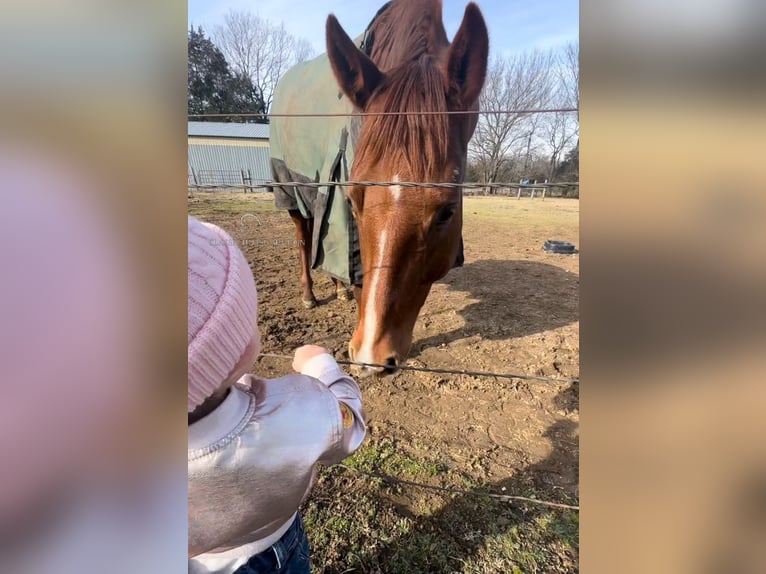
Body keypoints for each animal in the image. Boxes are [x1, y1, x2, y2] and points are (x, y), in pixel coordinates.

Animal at [272, 0, 488, 376]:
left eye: (448, 211)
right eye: (353, 201)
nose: (372, 357)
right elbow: (359, 276)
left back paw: (338, 290)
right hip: (291, 191)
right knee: (303, 240)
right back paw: (310, 296)